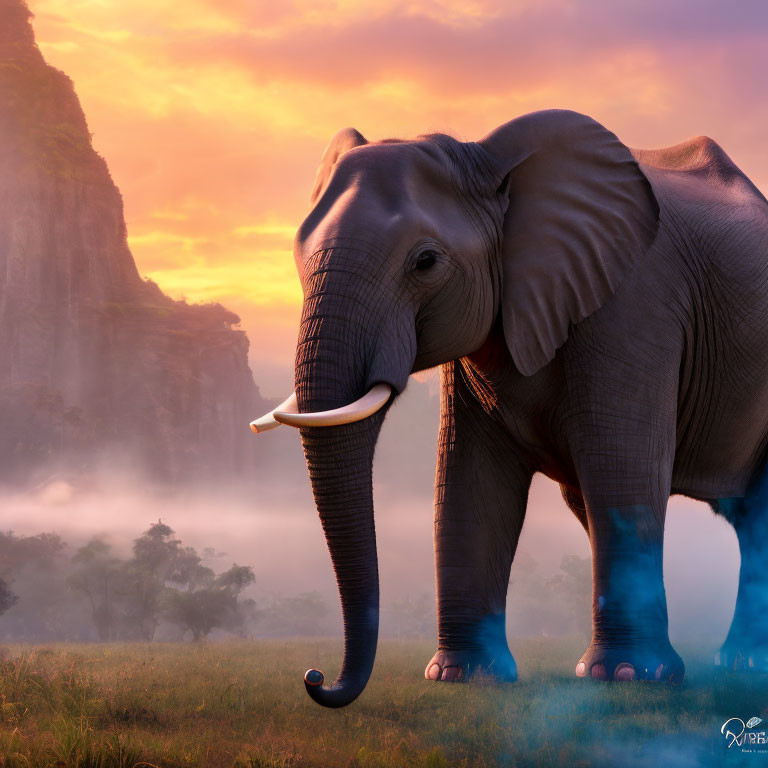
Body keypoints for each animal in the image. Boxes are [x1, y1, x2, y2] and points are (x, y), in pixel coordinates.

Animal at [249, 108, 768, 708]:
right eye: (296, 256)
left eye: (425, 262)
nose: (316, 679)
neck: (490, 163)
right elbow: (471, 481)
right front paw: (462, 677)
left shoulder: (636, 304)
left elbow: (622, 473)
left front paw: (627, 678)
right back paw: (742, 663)